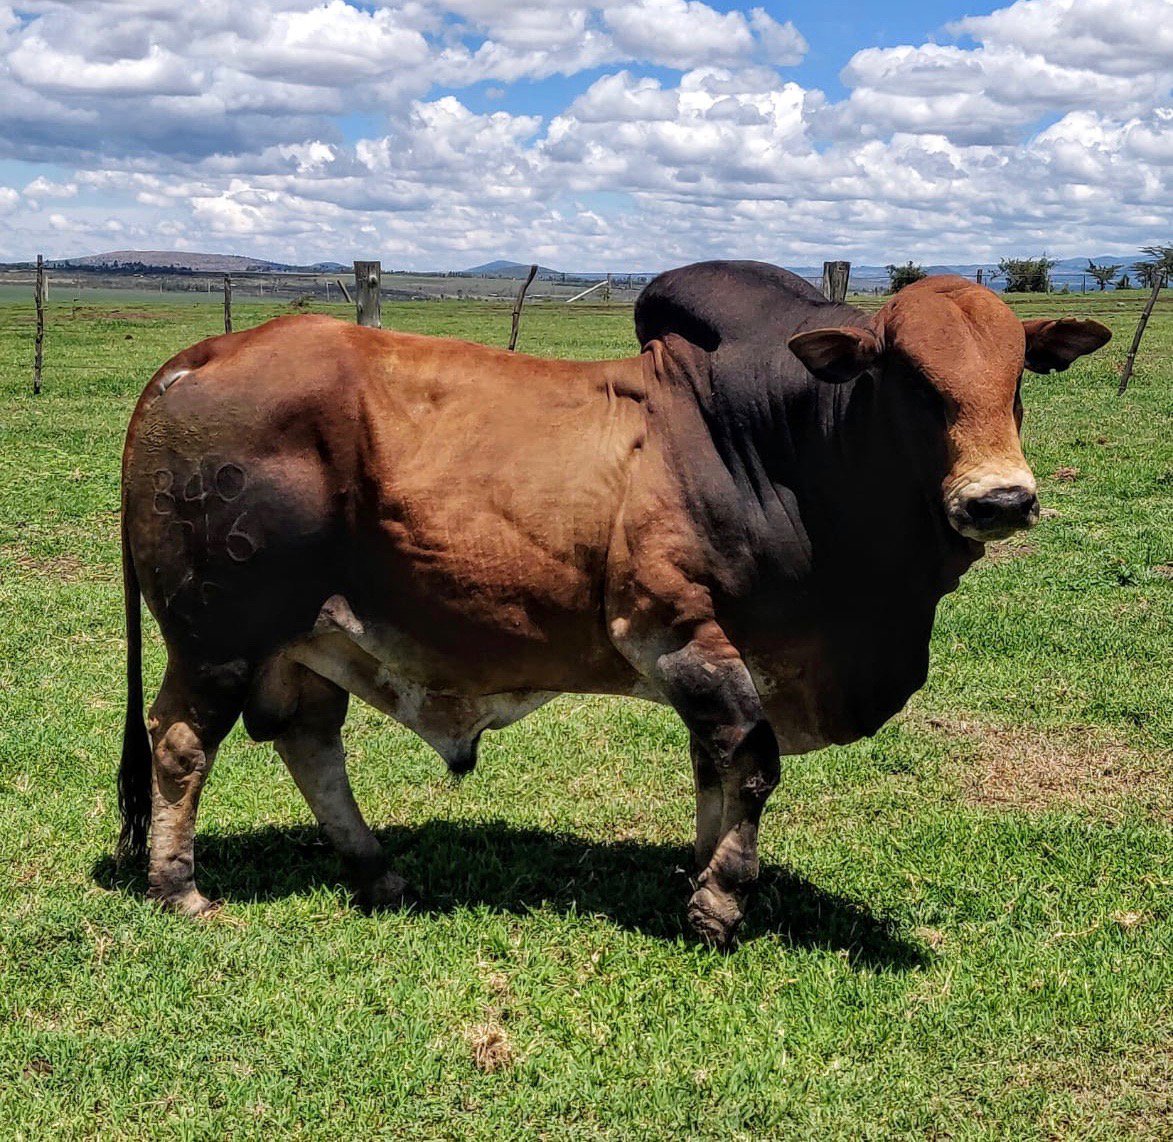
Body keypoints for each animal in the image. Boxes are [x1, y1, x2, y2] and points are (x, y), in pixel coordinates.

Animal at [117, 261, 1110, 947]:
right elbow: (752, 763)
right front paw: (719, 903)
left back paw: (376, 872)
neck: (779, 447)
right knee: (182, 743)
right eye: (904, 376)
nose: (1000, 500)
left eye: (1020, 375)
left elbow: (714, 766)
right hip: (217, 633)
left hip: (305, 637)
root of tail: (193, 360)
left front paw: (700, 871)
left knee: (309, 741)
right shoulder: (674, 634)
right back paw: (180, 888)